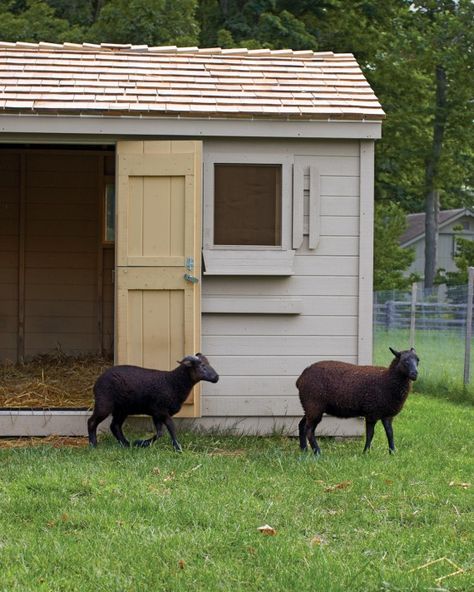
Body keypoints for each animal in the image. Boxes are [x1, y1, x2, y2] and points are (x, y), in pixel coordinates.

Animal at [88, 354, 219, 450]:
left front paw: (141, 443)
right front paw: (178, 448)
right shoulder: (161, 410)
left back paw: (126, 444)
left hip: (122, 409)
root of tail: (97, 383)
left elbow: (160, 433)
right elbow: (171, 428)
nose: (217, 377)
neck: (173, 382)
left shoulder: (157, 414)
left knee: (115, 426)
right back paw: (93, 445)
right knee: (92, 421)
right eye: (202, 366)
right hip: (104, 403)